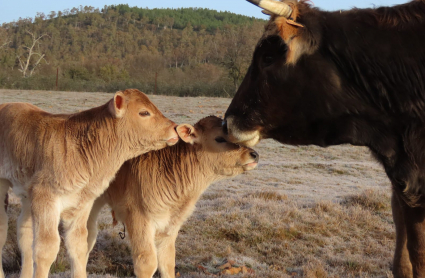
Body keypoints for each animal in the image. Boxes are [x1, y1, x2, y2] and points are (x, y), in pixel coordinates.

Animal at [0, 89, 177, 278]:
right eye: (144, 112)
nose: (174, 127)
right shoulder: (45, 196)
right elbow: (46, 249)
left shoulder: (82, 202)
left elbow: (78, 245)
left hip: (27, 193)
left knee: (24, 231)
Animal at [88, 116, 256, 278]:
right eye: (220, 138)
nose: (254, 154)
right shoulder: (138, 219)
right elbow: (147, 264)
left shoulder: (170, 226)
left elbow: (167, 261)